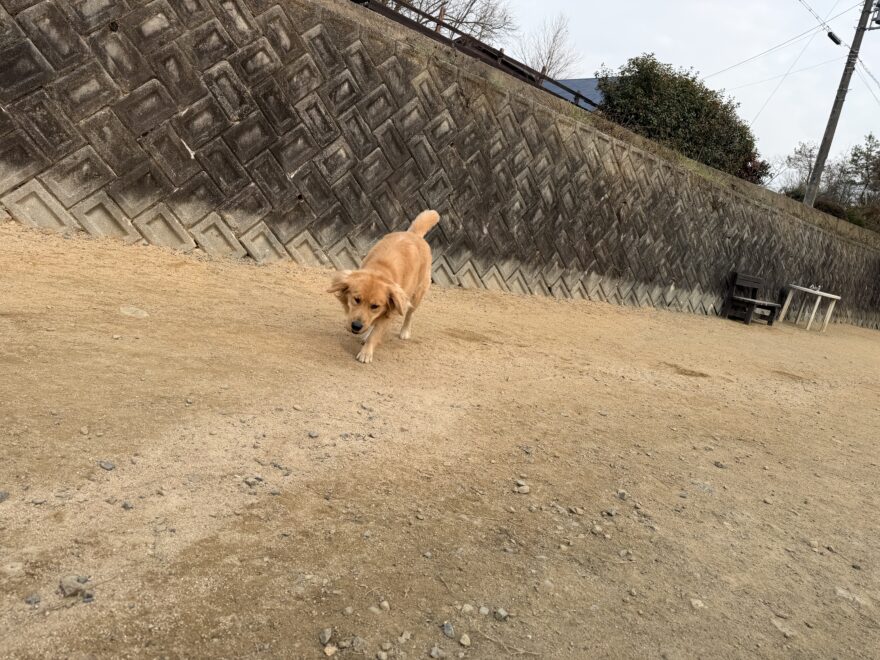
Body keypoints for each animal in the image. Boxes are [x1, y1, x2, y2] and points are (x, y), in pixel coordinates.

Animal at [328, 210, 440, 363]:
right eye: (356, 299)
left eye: (375, 306)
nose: (356, 326)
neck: (380, 270)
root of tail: (414, 234)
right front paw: (367, 336)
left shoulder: (391, 309)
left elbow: (376, 333)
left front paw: (366, 353)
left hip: (417, 295)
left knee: (409, 314)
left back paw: (405, 331)